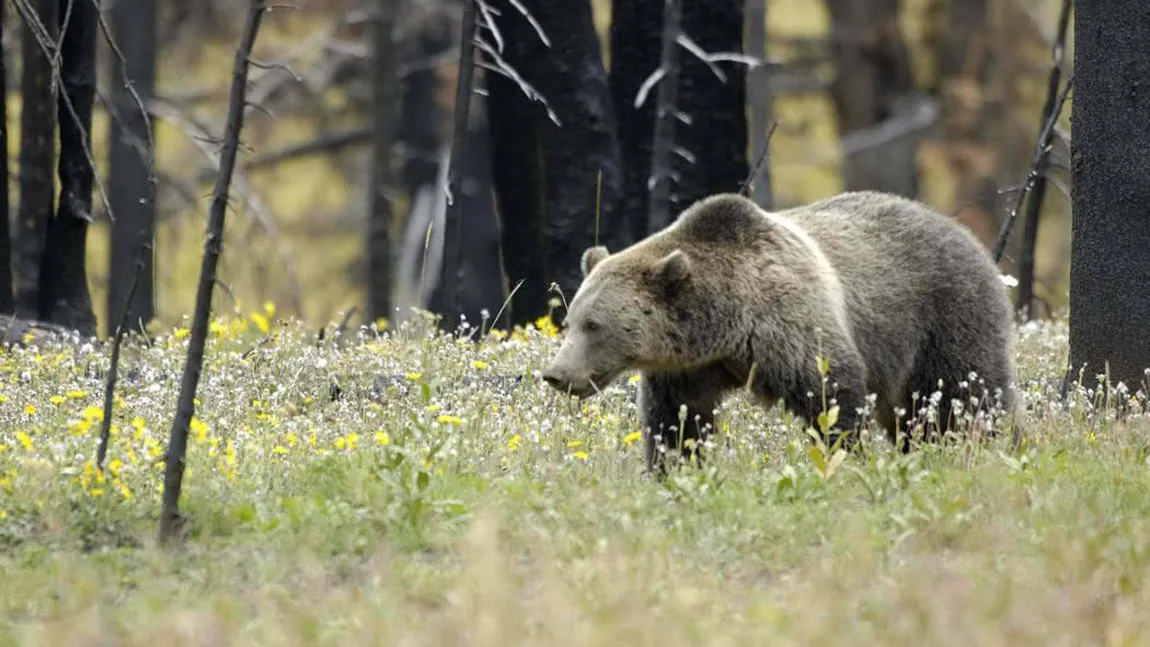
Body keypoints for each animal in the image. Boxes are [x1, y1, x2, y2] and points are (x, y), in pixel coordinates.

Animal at [542, 190, 1021, 471]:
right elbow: (679, 420)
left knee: (968, 395)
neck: (726, 324)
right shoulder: (689, 367)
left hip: (945, 314)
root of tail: (964, 232)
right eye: (570, 321)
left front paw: (846, 459)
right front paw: (674, 469)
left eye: (594, 325)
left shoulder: (788, 325)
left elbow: (831, 394)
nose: (556, 374)